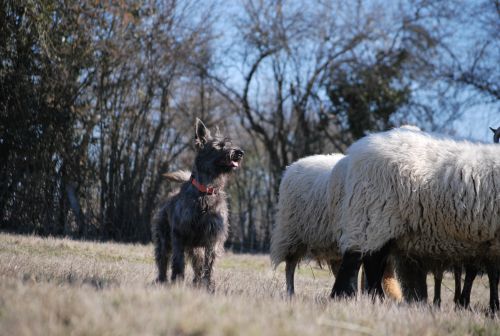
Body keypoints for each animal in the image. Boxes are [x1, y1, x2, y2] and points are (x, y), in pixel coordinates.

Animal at [151, 119, 243, 290]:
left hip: (197, 249)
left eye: (229, 142)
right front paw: (177, 281)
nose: (240, 152)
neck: (205, 191)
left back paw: (197, 283)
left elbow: (209, 264)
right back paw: (161, 280)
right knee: (162, 259)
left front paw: (209, 286)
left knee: (198, 266)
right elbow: (178, 262)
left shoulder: (212, 239)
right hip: (164, 240)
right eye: (219, 145)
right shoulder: (179, 235)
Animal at [332, 126, 500, 312]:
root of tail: (356, 150)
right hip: (370, 213)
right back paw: (343, 297)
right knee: (354, 259)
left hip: (382, 224)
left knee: (373, 260)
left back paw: (377, 299)